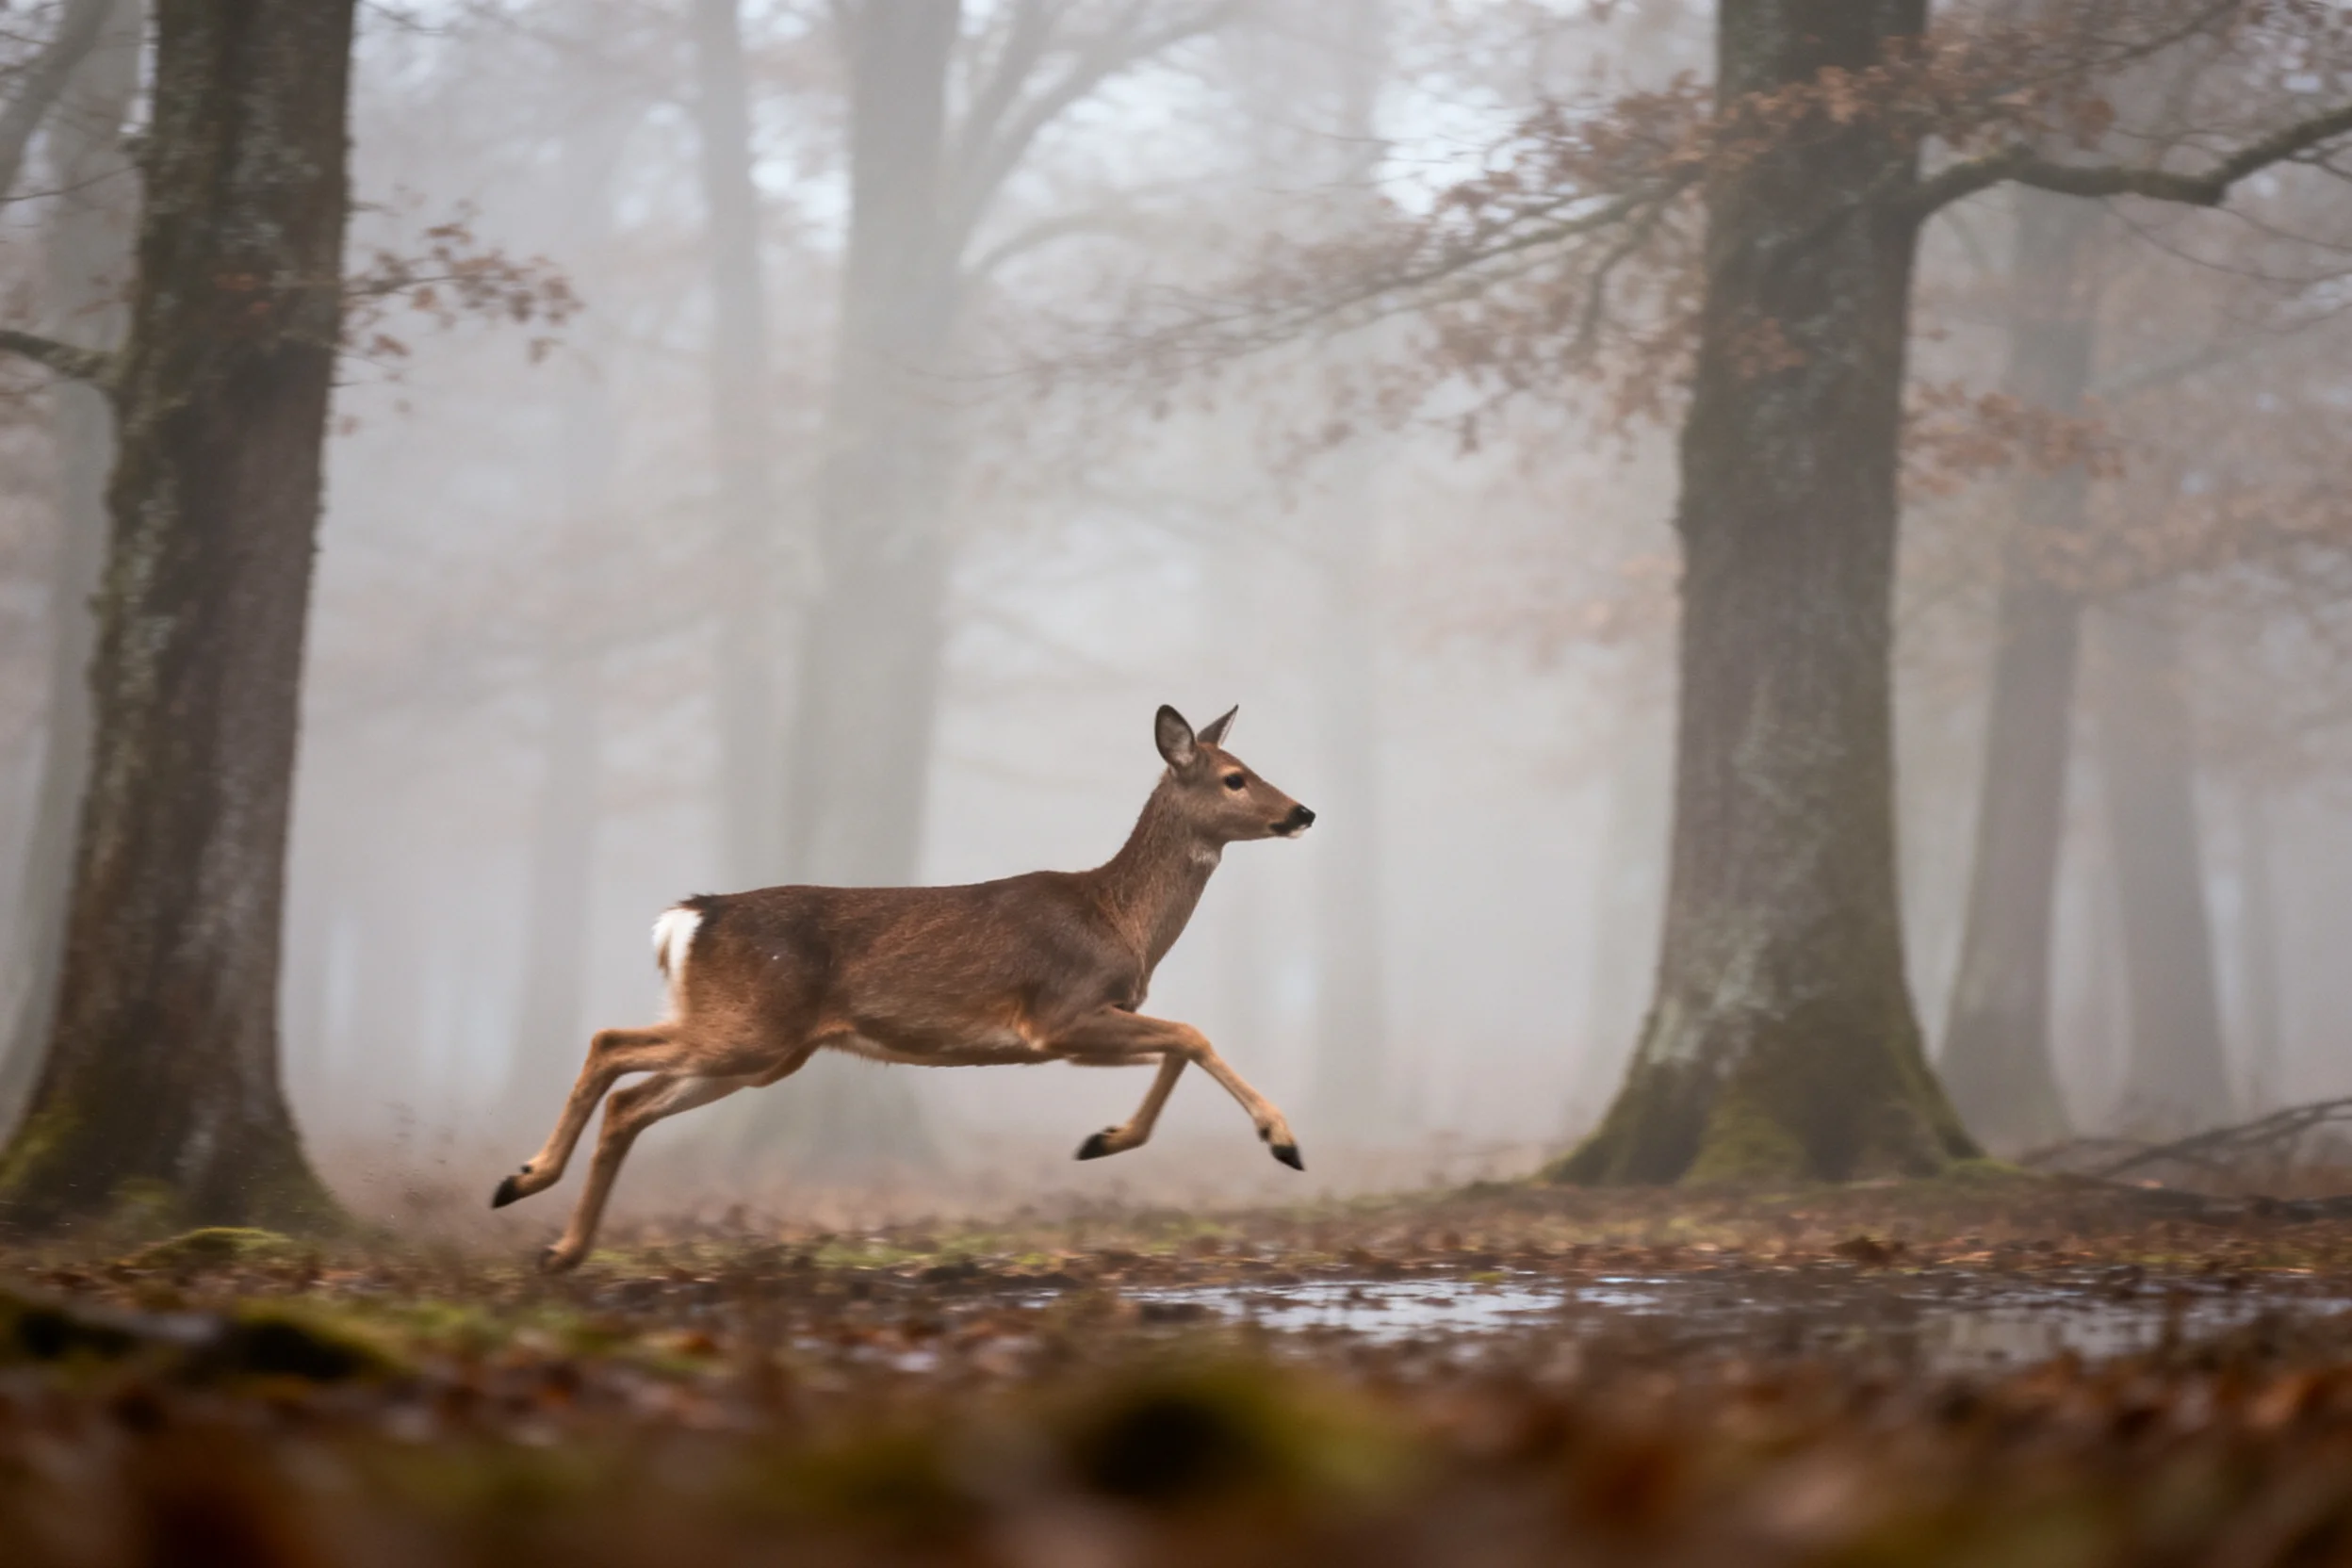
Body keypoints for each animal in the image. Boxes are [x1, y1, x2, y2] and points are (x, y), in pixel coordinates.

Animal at [491, 704, 1314, 1271]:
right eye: (1235, 777)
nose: (1302, 810)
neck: (1120, 921)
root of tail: (691, 917)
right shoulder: (1059, 1013)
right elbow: (1192, 1035)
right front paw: (1281, 1140)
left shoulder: (1084, 1030)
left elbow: (1175, 1046)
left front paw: (1105, 1138)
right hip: (748, 1030)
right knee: (611, 1047)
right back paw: (528, 1185)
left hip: (759, 1052)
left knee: (629, 1099)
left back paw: (554, 1238)